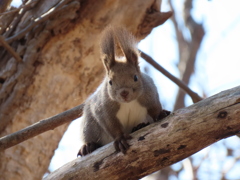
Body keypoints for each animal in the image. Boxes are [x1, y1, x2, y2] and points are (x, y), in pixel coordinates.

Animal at [78, 26, 168, 156]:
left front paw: (161, 114)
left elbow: (155, 107)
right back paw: (88, 146)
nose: (124, 93)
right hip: (90, 124)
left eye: (136, 77)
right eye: (110, 82)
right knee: (90, 134)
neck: (127, 103)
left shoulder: (150, 93)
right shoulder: (103, 109)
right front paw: (120, 139)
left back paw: (139, 126)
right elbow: (112, 126)